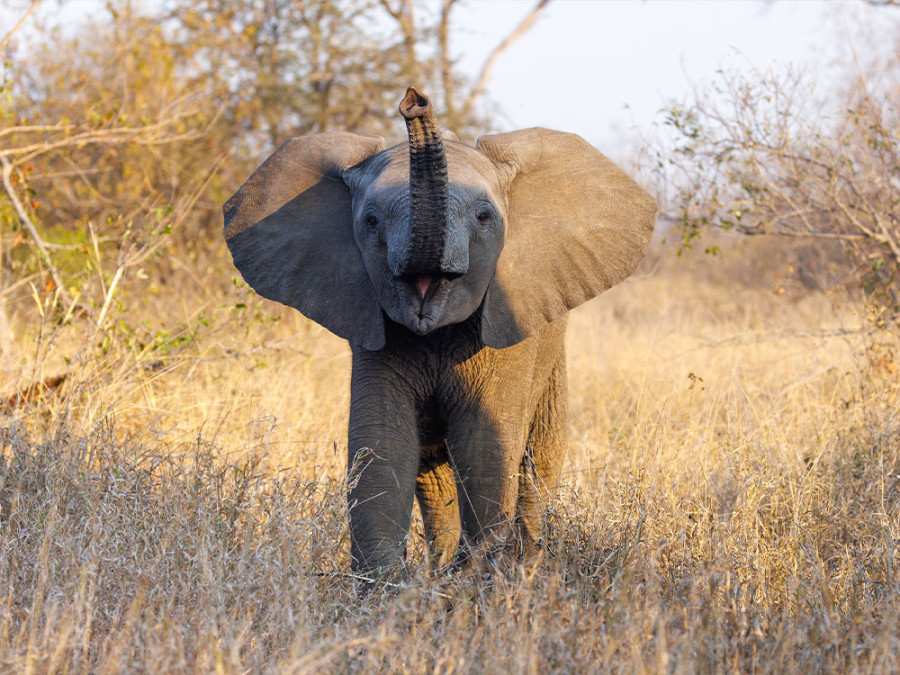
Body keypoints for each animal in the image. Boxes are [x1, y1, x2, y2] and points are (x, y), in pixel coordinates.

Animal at [219, 86, 652, 580]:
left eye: (484, 217)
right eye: (370, 222)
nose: (414, 101)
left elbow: (485, 446)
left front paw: (478, 581)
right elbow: (381, 443)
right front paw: (390, 588)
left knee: (537, 460)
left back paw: (526, 568)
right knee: (433, 472)